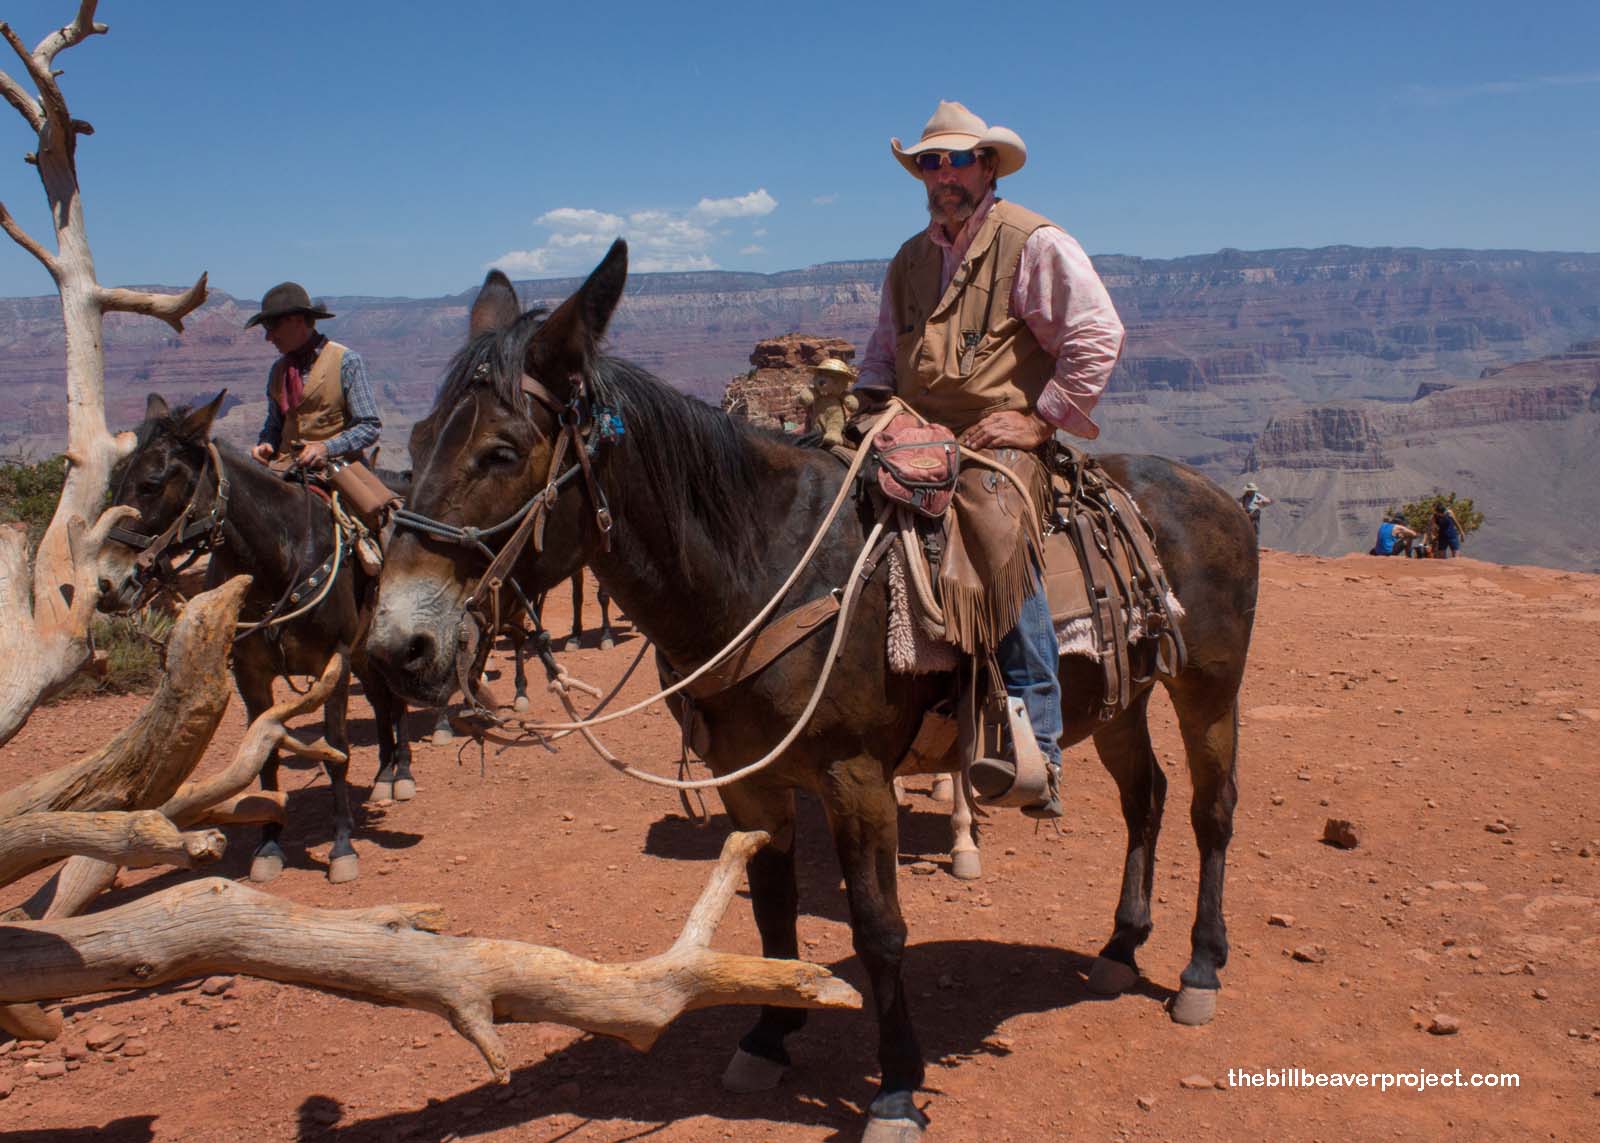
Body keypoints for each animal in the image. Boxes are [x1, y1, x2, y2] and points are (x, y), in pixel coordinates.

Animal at [98, 393, 417, 884]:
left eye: (151, 484)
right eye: (115, 482)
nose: (108, 584)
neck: (281, 560)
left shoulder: (335, 661)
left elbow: (337, 748)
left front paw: (343, 847)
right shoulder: (251, 672)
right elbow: (264, 754)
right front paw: (268, 846)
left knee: (394, 699)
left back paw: (400, 775)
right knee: (383, 701)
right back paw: (384, 773)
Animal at [366, 242, 1257, 1141]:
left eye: (503, 450)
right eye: (415, 439)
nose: (400, 645)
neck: (768, 563)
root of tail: (1216, 495)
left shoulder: (855, 777)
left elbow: (879, 928)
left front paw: (896, 1086)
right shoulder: (752, 781)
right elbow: (770, 904)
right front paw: (770, 1031)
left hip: (1208, 686)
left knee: (1210, 810)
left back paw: (1198, 969)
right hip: (1120, 699)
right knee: (1146, 796)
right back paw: (1119, 949)